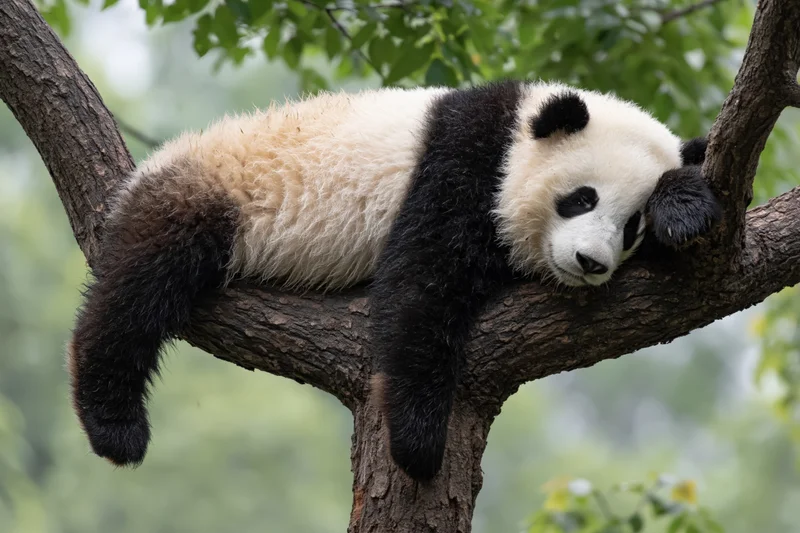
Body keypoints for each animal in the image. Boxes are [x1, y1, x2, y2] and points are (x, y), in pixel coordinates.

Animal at [67, 80, 721, 482]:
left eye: (630, 227)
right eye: (581, 198)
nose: (590, 263)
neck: (513, 131)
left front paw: (682, 205)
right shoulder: (459, 165)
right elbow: (421, 285)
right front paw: (418, 441)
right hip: (210, 192)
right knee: (139, 291)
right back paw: (114, 425)